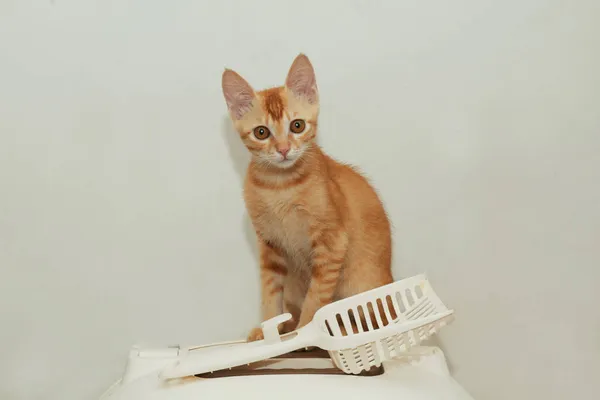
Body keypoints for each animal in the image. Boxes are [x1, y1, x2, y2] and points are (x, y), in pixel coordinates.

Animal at [221, 53, 394, 340]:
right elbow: (270, 292)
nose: (283, 150)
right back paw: (287, 324)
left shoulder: (332, 243)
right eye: (261, 132)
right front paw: (269, 330)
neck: (280, 186)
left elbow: (317, 297)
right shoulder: (269, 246)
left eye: (297, 125)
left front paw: (304, 332)